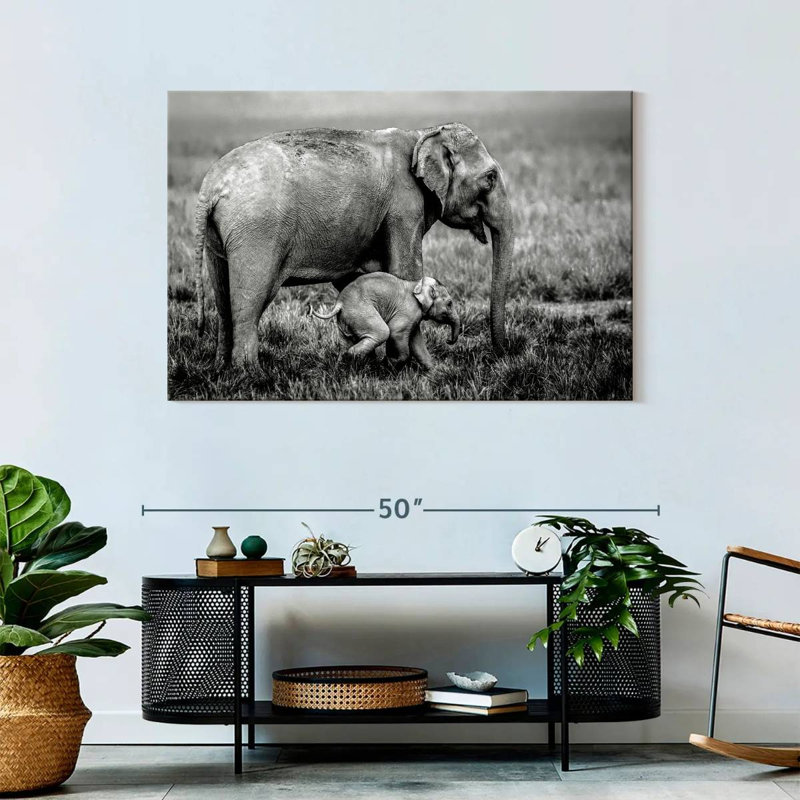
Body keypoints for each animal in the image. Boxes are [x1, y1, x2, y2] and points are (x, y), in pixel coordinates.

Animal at [311, 273, 461, 370]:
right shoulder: (409, 311)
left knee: (345, 343)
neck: (417, 284)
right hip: (361, 312)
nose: (448, 341)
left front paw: (433, 373)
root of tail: (339, 303)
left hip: (346, 320)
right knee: (382, 332)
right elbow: (396, 332)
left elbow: (416, 341)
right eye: (449, 303)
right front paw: (389, 364)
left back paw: (342, 369)